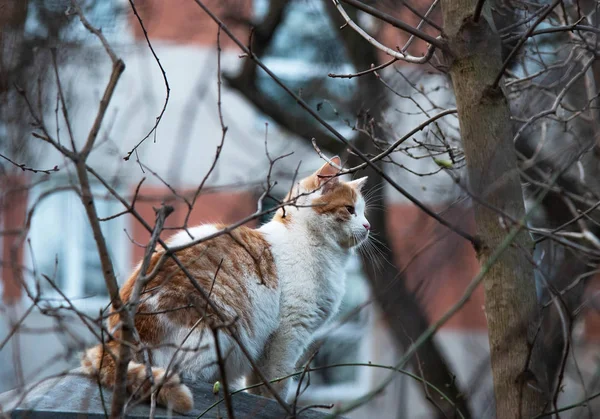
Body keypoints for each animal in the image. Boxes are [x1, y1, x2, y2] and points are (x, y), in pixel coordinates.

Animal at [79, 156, 370, 412]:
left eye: (365, 213)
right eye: (350, 210)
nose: (367, 226)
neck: (308, 240)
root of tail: (118, 339)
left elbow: (257, 383)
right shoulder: (288, 332)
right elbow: (275, 381)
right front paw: (276, 404)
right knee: (190, 374)